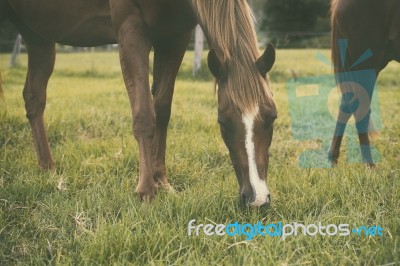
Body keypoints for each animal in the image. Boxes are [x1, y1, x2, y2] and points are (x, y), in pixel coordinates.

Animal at [0, 0, 276, 207]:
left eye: (272, 117)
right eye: (223, 122)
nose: (257, 199)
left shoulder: (175, 37)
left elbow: (162, 109)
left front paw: (161, 181)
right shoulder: (131, 31)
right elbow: (144, 115)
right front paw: (146, 190)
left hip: (38, 36)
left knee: (34, 98)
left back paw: (47, 168)